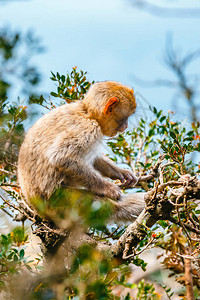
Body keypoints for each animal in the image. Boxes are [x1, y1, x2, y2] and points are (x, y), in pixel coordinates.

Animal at [17, 81, 145, 221]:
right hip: (59, 199)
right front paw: (109, 188)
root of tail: (39, 210)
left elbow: (94, 159)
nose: (126, 126)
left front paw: (122, 173)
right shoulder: (88, 127)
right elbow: (60, 157)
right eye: (125, 117)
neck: (87, 112)